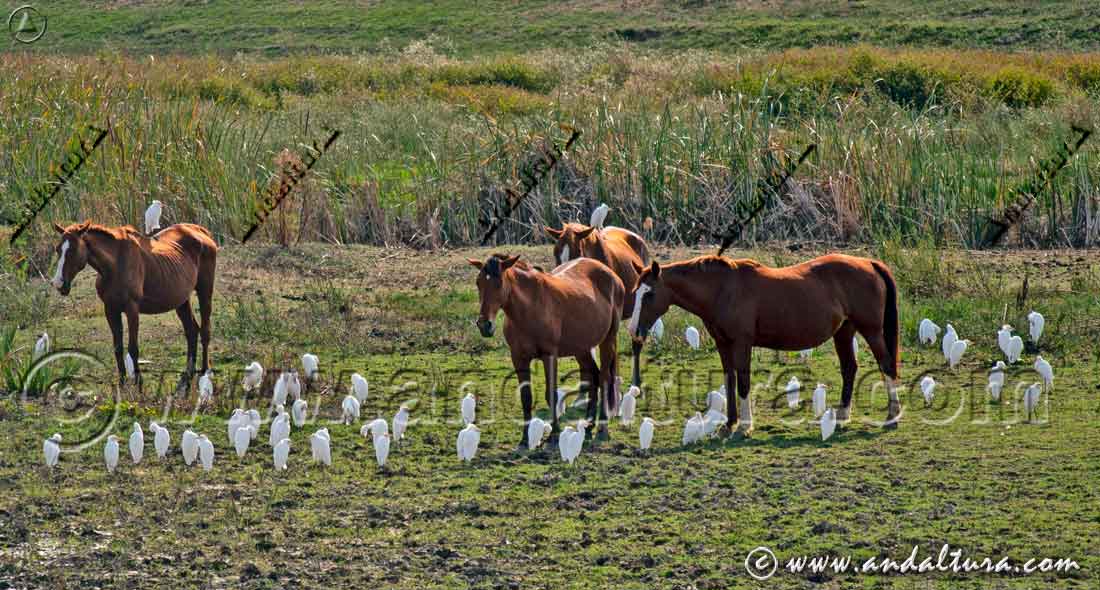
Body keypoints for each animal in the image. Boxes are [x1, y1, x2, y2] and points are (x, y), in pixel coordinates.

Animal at [51, 221, 218, 392]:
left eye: (72, 250)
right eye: (58, 249)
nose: (58, 284)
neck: (115, 265)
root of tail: (201, 231)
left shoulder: (132, 309)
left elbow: (133, 349)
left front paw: (139, 385)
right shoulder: (110, 309)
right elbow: (118, 348)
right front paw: (122, 383)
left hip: (205, 291)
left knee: (205, 331)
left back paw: (205, 371)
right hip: (181, 300)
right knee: (192, 331)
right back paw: (188, 374)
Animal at [469, 254, 625, 448]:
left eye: (499, 283)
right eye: (478, 282)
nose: (484, 325)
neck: (529, 308)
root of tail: (613, 276)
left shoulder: (549, 356)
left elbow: (551, 394)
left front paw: (554, 435)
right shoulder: (518, 358)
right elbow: (525, 397)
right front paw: (524, 440)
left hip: (607, 341)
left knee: (604, 378)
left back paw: (602, 429)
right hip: (581, 349)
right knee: (594, 377)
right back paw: (589, 427)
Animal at [627, 254, 900, 436]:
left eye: (649, 294)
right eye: (635, 292)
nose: (633, 331)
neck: (722, 290)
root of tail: (869, 263)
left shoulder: (741, 343)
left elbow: (743, 381)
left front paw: (745, 427)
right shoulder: (723, 344)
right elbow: (730, 380)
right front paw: (730, 424)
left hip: (871, 330)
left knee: (886, 365)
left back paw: (892, 416)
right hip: (844, 331)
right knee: (849, 368)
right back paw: (843, 417)